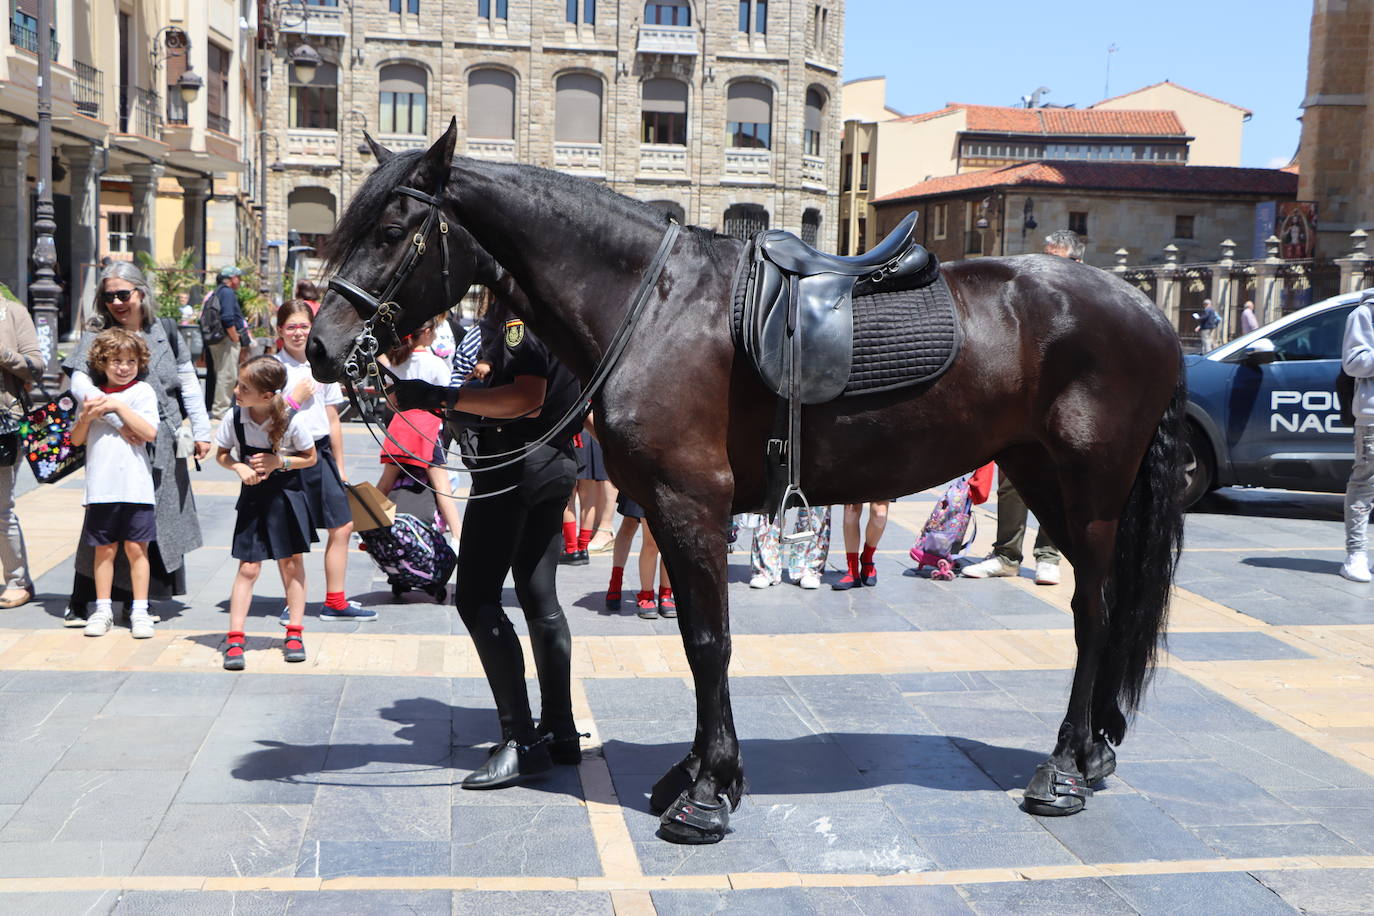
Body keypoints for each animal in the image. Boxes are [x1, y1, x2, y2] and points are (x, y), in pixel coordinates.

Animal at [306, 120, 1187, 845]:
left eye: (391, 229)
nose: (320, 346)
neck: (654, 306)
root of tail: (1147, 311)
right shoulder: (669, 509)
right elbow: (697, 636)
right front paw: (695, 774)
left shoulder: (690, 503)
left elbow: (708, 643)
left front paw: (709, 793)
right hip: (1046, 481)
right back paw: (1094, 750)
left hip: (1092, 493)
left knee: (1094, 615)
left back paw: (1063, 771)